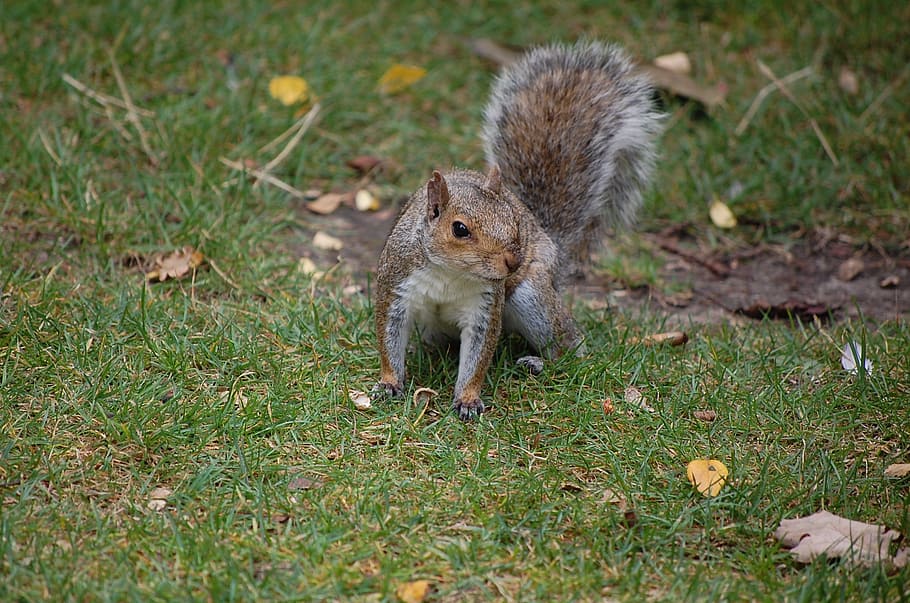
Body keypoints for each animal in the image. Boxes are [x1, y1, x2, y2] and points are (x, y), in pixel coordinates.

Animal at [371, 41, 663, 420]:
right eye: (460, 229)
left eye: (515, 223)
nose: (512, 262)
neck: (450, 273)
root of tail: (555, 248)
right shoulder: (396, 287)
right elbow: (389, 339)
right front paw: (389, 383)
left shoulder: (485, 306)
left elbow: (478, 356)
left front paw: (468, 399)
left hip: (532, 295)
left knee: (569, 348)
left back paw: (539, 362)